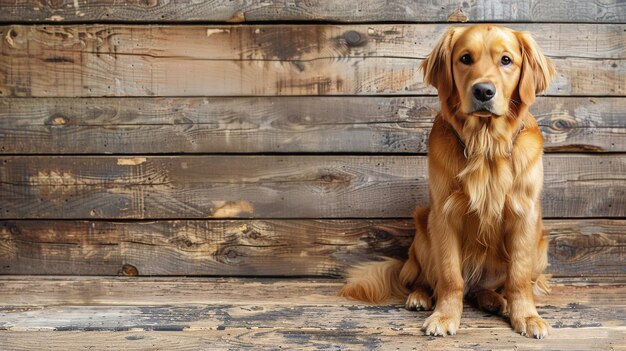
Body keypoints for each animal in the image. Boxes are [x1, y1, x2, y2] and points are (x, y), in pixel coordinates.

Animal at [338, 23, 552, 340]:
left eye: (506, 60)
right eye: (465, 58)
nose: (483, 91)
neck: (485, 145)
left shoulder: (524, 216)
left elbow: (518, 278)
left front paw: (526, 316)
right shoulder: (444, 216)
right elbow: (451, 277)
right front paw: (445, 316)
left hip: (539, 246)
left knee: (486, 288)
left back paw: (494, 299)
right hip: (423, 233)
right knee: (429, 280)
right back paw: (420, 297)